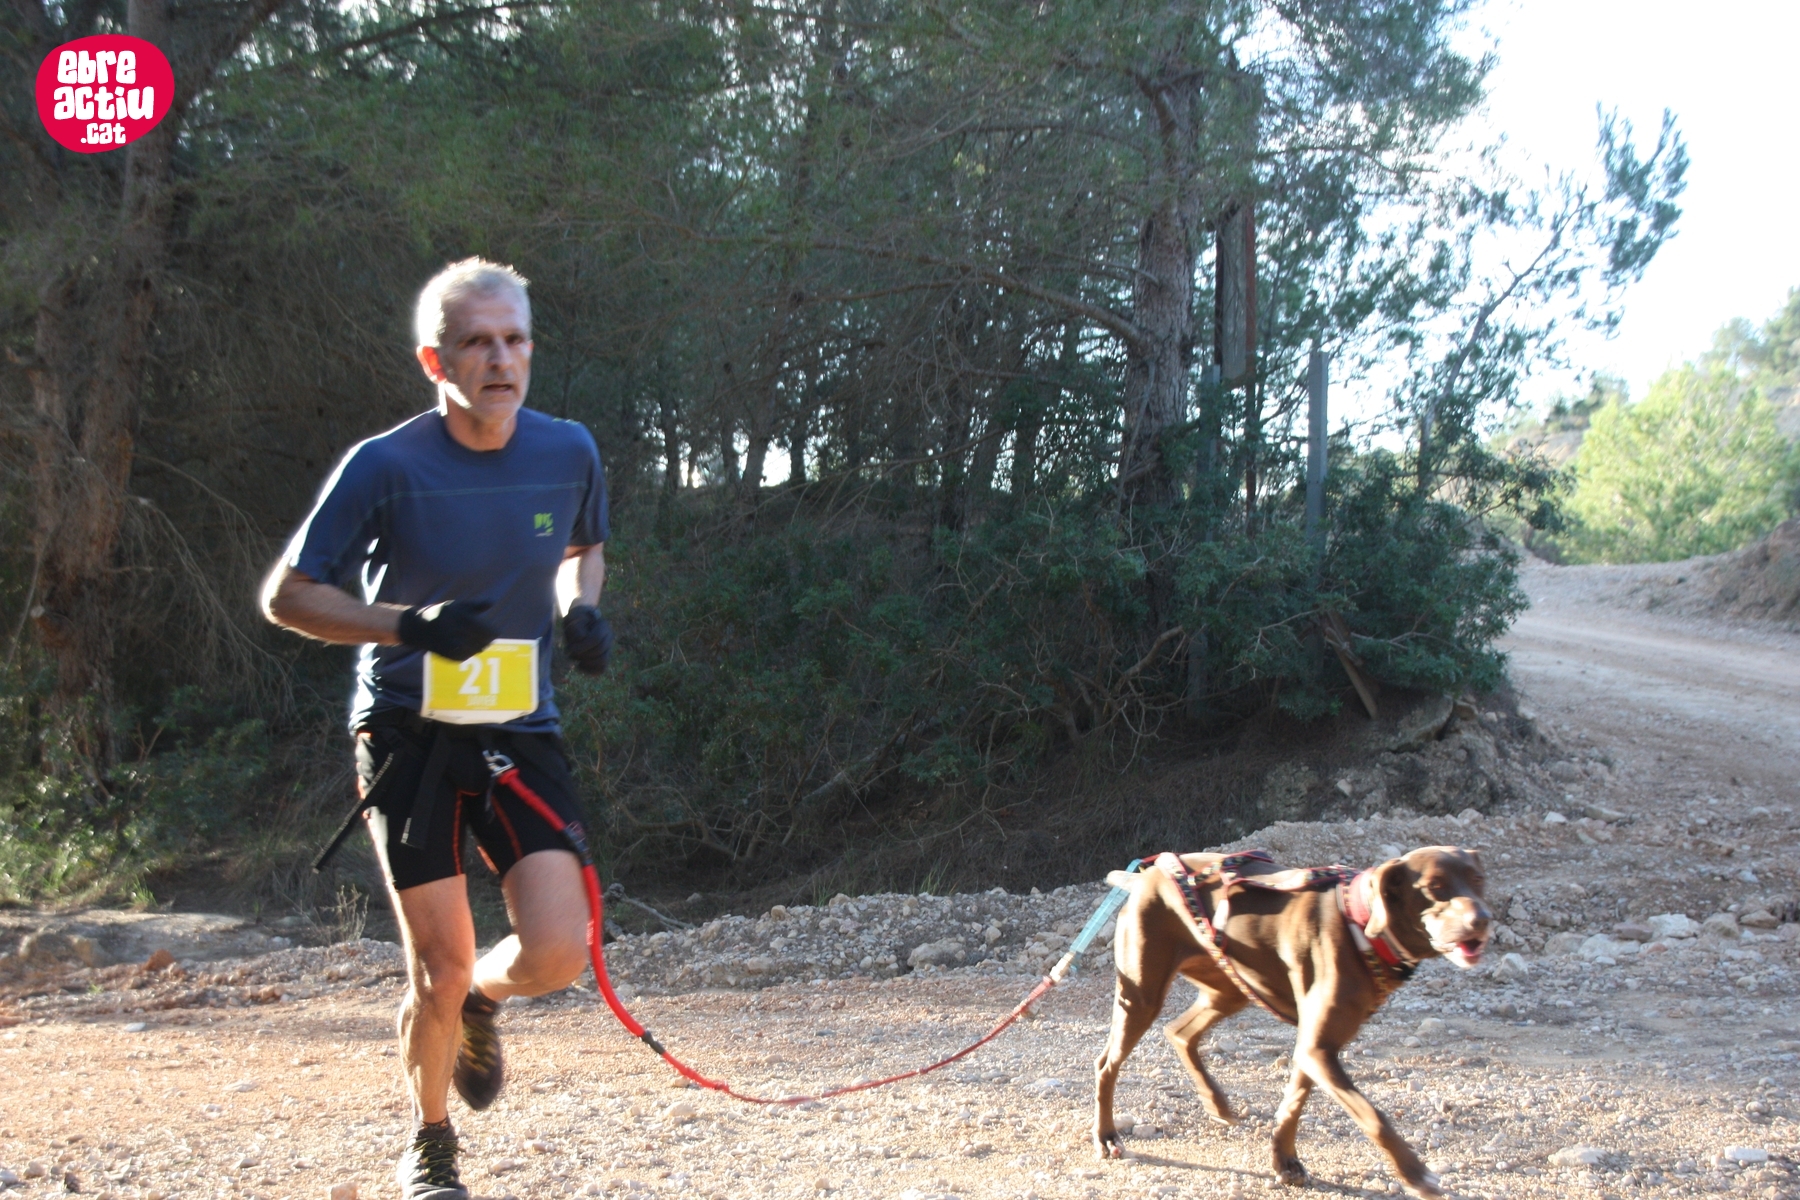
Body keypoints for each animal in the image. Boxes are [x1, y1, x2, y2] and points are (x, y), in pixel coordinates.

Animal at [1092, 846, 1491, 1198]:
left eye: (1478, 879)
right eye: (1434, 886)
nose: (1483, 919)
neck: (1359, 919)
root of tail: (1146, 876)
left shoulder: (1315, 1047)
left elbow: (1293, 1105)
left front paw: (1285, 1161)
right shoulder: (1317, 1049)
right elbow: (1372, 1117)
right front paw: (1415, 1175)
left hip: (1230, 987)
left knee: (1179, 1032)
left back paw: (1216, 1103)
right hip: (1141, 995)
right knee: (1107, 1063)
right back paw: (1107, 1136)